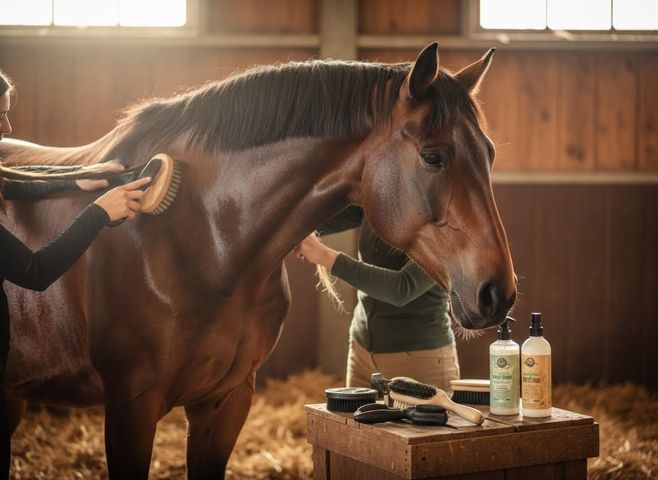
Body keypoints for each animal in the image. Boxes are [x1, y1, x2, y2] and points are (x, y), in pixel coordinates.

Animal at [0, 43, 516, 478]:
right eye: (433, 156)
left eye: (490, 153)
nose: (498, 293)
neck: (205, 238)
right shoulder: (131, 405)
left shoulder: (225, 402)